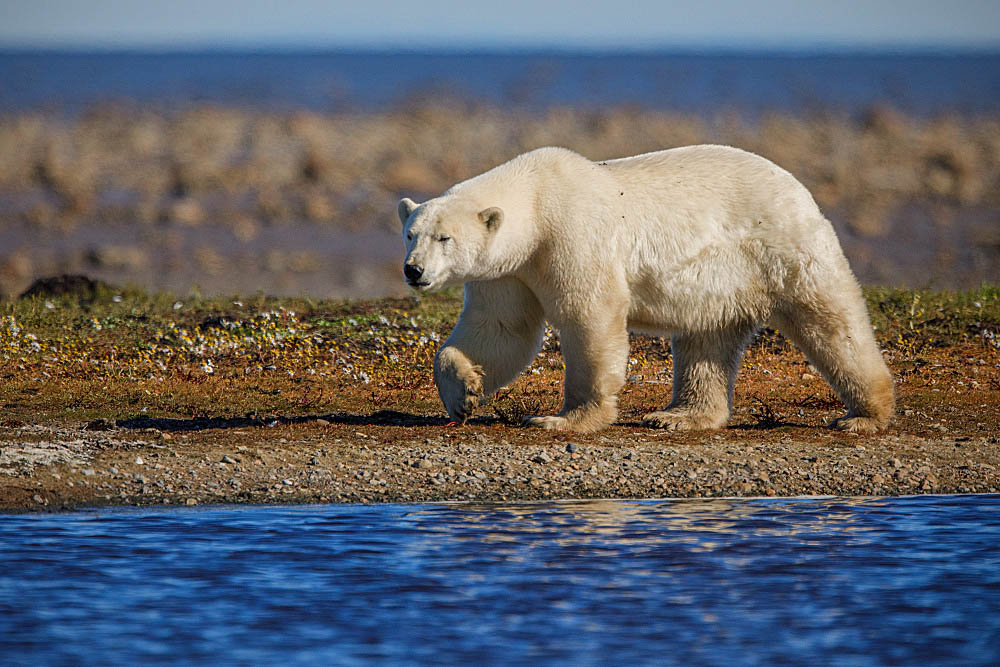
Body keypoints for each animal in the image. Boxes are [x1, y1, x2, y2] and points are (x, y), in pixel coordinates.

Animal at [398, 145, 900, 434]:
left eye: (444, 238)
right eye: (410, 233)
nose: (413, 270)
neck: (537, 203)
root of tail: (798, 188)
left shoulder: (571, 235)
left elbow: (590, 316)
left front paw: (563, 419)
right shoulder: (510, 270)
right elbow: (501, 329)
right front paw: (463, 394)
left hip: (778, 247)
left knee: (830, 319)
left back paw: (863, 415)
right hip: (720, 282)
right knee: (706, 341)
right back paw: (679, 415)